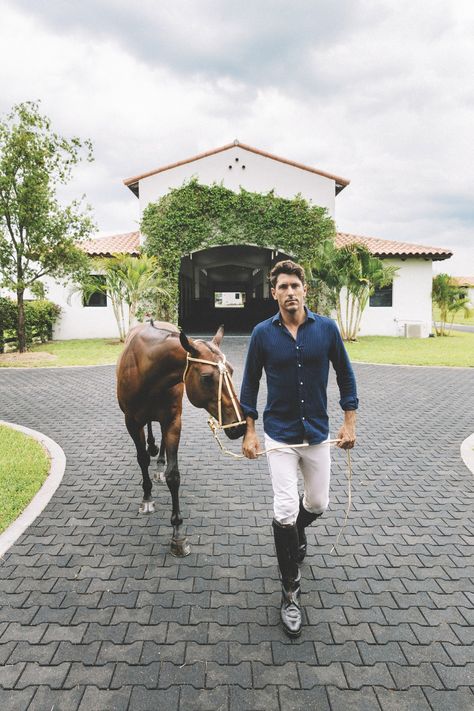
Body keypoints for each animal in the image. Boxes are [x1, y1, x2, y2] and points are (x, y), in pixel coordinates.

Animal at [116, 322, 246, 556]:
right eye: (206, 377)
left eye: (231, 370)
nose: (239, 426)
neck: (147, 371)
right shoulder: (131, 423)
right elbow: (142, 460)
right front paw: (147, 497)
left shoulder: (173, 421)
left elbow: (173, 476)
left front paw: (177, 534)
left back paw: (159, 460)